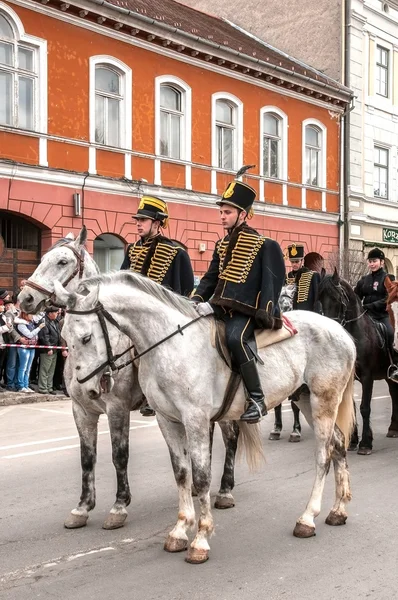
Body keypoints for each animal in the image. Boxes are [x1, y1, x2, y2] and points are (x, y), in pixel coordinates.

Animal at [18, 227, 241, 528]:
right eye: (43, 258)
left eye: (62, 262)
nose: (25, 299)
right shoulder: (81, 409)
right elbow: (87, 458)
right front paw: (82, 507)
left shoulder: (118, 407)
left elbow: (119, 455)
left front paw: (119, 506)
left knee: (231, 437)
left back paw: (226, 489)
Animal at [55, 270, 354, 564]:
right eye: (65, 338)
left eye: (86, 338)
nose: (88, 389)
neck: (171, 344)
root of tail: (339, 329)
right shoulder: (167, 420)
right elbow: (181, 473)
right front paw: (179, 530)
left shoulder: (193, 419)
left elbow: (199, 477)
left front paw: (200, 538)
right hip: (305, 398)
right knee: (339, 444)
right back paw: (338, 510)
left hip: (323, 401)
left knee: (323, 455)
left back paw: (307, 518)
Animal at [318, 270, 398, 452]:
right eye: (320, 298)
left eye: (336, 297)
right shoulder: (348, 378)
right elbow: (352, 407)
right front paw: (353, 440)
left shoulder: (367, 377)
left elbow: (365, 408)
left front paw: (366, 443)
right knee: (393, 393)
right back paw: (392, 428)